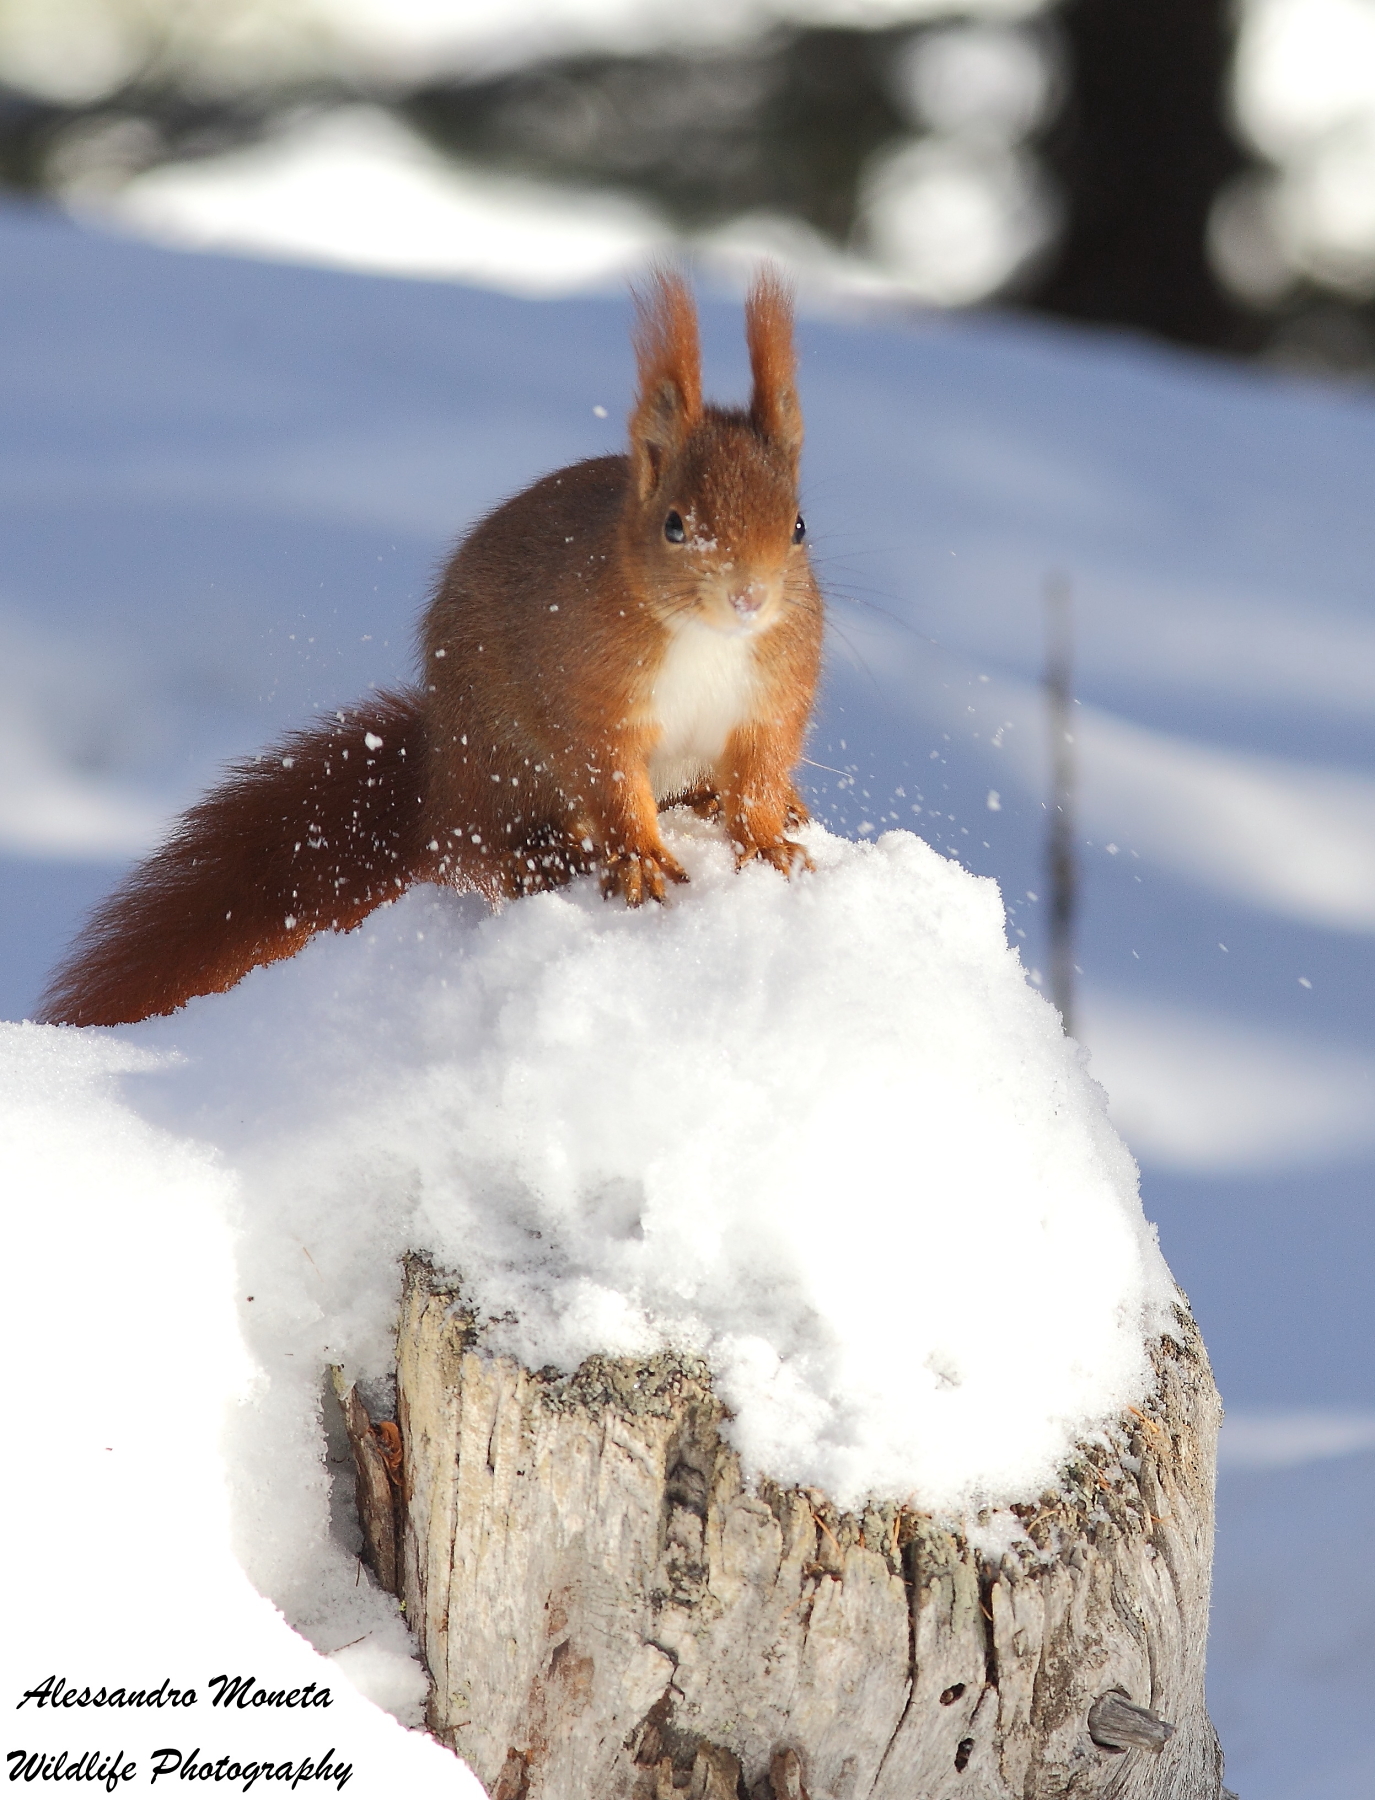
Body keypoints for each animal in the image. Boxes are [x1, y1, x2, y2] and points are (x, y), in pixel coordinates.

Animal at [37, 271, 824, 1028]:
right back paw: (529, 856)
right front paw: (638, 859)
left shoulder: (769, 700)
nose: (748, 599)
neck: (708, 641)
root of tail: (437, 772)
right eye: (674, 525)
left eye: (797, 526)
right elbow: (608, 778)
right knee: (469, 847)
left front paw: (767, 843)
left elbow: (758, 773)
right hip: (496, 756)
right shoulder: (589, 692)